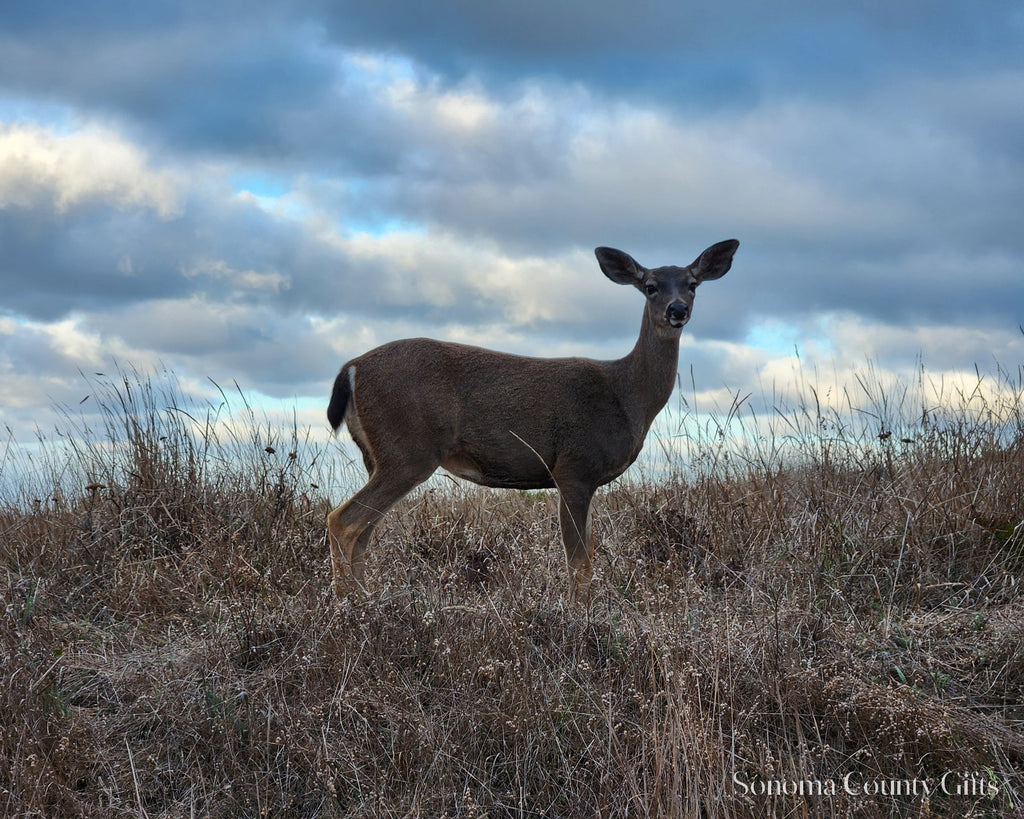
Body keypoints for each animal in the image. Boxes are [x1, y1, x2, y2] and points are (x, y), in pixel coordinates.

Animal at [326, 239, 738, 604]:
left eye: (693, 284)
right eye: (650, 286)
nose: (677, 309)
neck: (627, 397)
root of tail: (351, 368)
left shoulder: (586, 479)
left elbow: (589, 552)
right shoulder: (574, 467)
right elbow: (580, 561)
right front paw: (579, 618)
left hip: (377, 455)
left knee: (363, 531)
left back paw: (367, 600)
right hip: (407, 450)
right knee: (343, 520)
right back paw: (352, 607)